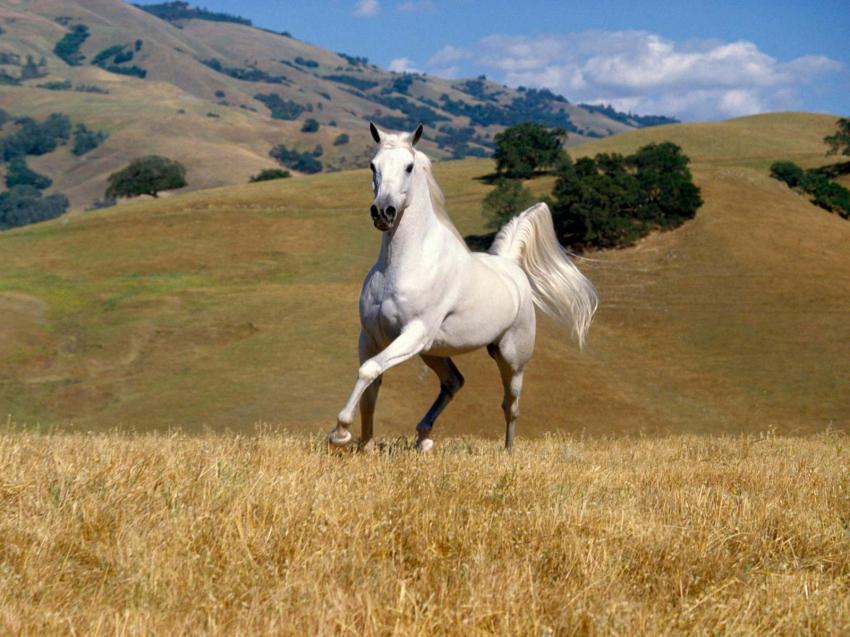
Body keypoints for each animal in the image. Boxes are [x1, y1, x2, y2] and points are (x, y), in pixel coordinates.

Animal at [329, 122, 598, 451]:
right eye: (372, 165)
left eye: (408, 167)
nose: (383, 212)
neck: (402, 264)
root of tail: (510, 267)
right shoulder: (371, 336)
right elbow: (371, 386)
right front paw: (363, 445)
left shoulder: (414, 332)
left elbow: (368, 370)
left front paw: (340, 433)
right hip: (432, 351)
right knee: (454, 382)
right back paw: (423, 437)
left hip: (510, 357)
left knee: (510, 405)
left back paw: (508, 452)